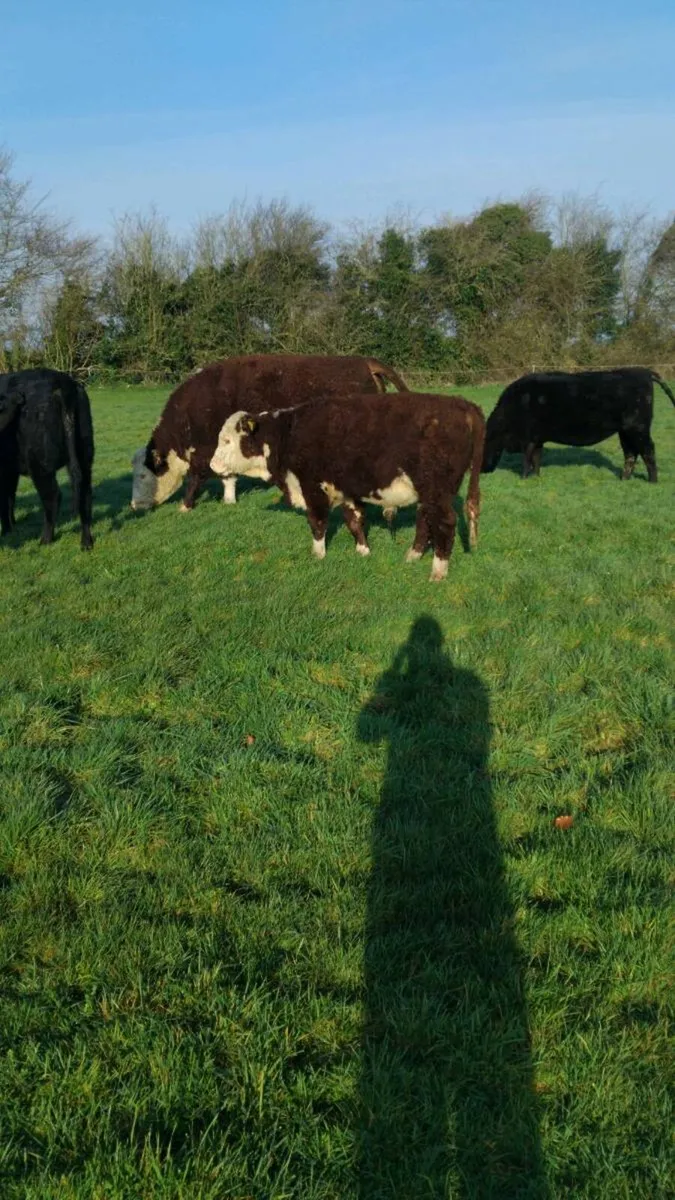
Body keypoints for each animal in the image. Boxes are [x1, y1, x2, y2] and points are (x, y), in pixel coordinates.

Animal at [0, 368, 95, 549]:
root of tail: (63, 382)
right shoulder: (10, 469)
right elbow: (9, 497)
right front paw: (11, 527)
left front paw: (6, 530)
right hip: (85, 455)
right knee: (85, 495)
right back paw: (86, 542)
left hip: (40, 464)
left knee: (53, 497)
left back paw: (45, 539)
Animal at [130, 354, 409, 512]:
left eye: (143, 476)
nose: (133, 506)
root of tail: (362, 362)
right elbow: (227, 476)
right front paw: (229, 500)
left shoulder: (205, 451)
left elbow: (197, 478)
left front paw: (186, 505)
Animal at [209, 392, 485, 581]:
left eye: (227, 440)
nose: (212, 465)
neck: (289, 434)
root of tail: (462, 404)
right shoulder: (346, 490)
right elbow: (354, 519)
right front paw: (363, 551)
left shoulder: (312, 486)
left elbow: (317, 522)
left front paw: (318, 555)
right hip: (431, 493)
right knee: (425, 520)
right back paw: (412, 556)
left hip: (437, 490)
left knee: (445, 523)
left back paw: (438, 570)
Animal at [482, 367, 675, 482]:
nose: (483, 471)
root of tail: (643, 371)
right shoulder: (537, 438)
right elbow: (536, 458)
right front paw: (536, 477)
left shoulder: (527, 438)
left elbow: (526, 459)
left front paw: (523, 478)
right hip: (625, 431)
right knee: (631, 453)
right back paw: (623, 479)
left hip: (638, 428)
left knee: (648, 450)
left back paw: (653, 481)